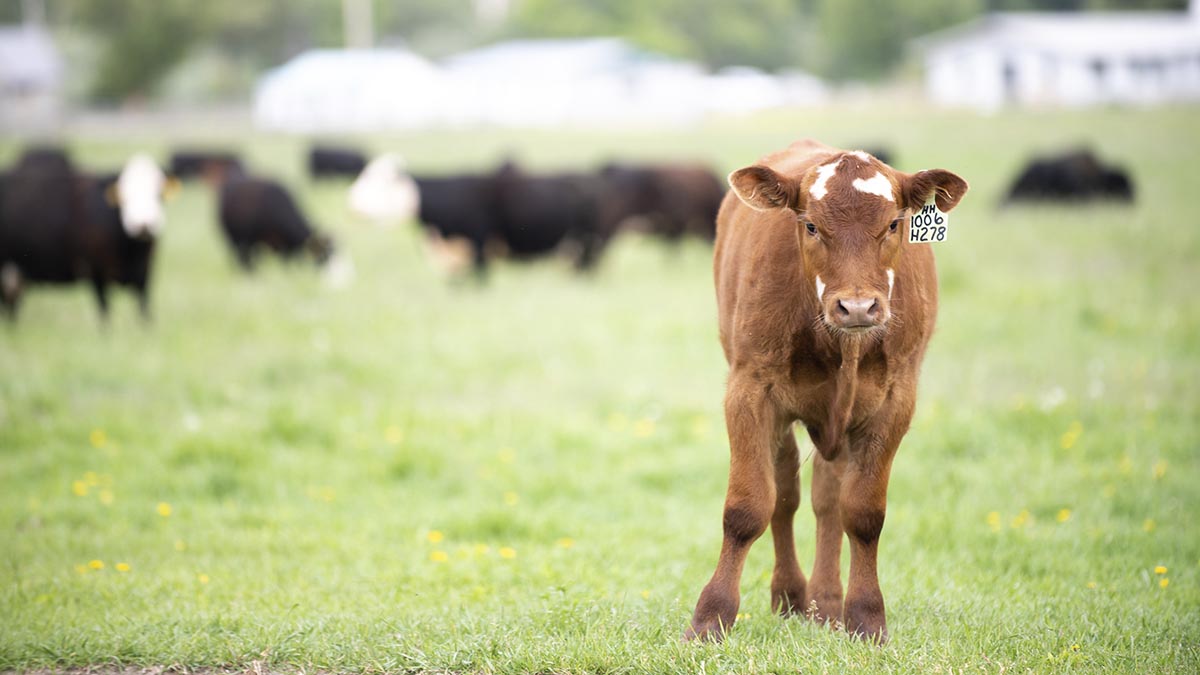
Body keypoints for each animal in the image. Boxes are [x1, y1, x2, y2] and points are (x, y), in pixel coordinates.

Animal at [686, 138, 964, 638]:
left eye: (894, 223)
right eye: (811, 225)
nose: (857, 307)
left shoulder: (896, 401)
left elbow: (864, 512)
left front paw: (866, 617)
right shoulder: (749, 390)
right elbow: (748, 507)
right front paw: (711, 616)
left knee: (827, 499)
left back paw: (827, 601)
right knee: (786, 494)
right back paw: (791, 594)